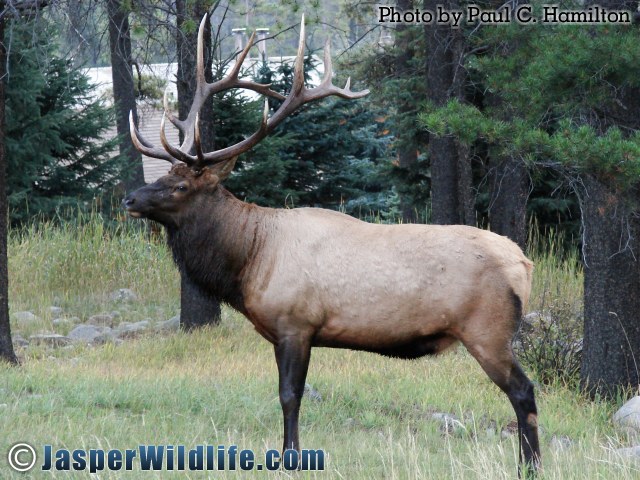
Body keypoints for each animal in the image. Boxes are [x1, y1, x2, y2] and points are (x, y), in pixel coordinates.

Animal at [121, 14, 540, 472]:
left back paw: (529, 466)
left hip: (488, 330)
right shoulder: (284, 332)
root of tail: (524, 263)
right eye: (163, 175)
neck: (249, 260)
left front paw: (291, 459)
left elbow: (290, 396)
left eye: (180, 185)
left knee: (524, 392)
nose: (130, 199)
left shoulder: (297, 324)